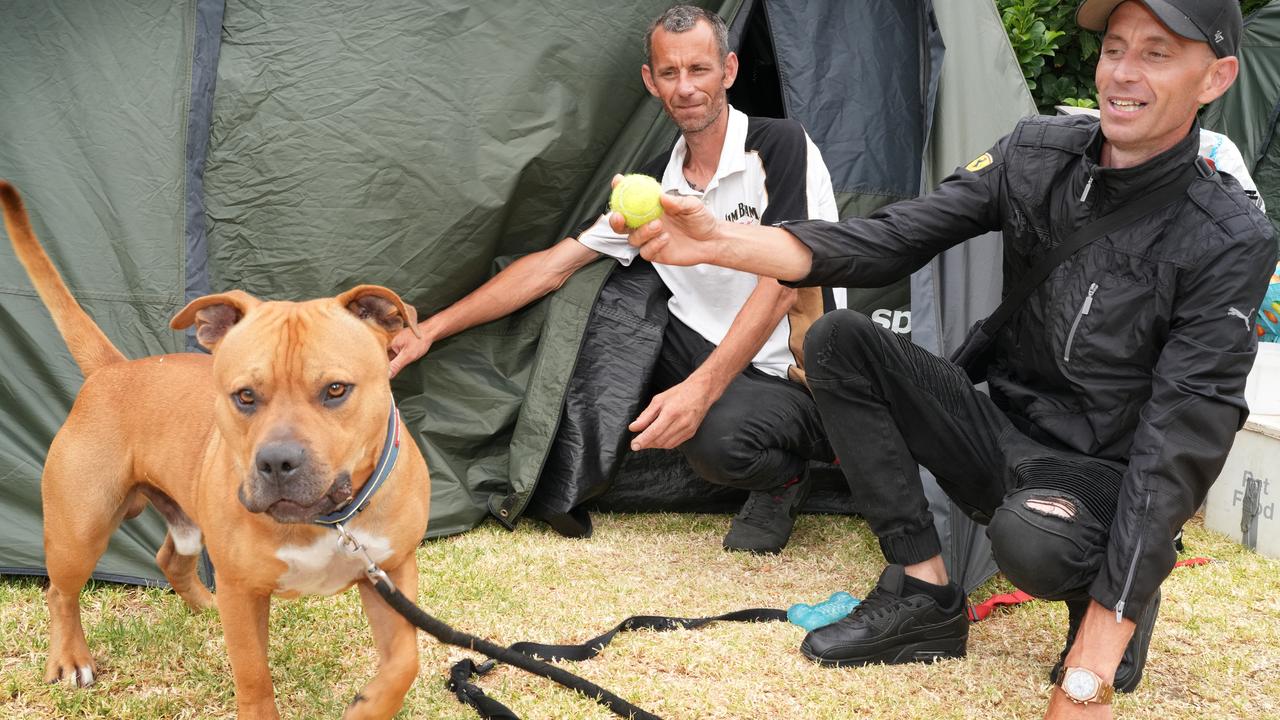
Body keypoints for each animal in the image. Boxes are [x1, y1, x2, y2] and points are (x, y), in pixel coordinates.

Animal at [0, 180, 432, 717]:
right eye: (244, 395)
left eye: (336, 389)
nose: (277, 462)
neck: (332, 521)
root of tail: (112, 370)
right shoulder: (244, 592)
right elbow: (253, 677)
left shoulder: (391, 571)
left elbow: (405, 661)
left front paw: (369, 703)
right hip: (80, 528)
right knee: (60, 592)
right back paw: (70, 659)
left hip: (184, 522)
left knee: (172, 560)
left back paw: (205, 607)